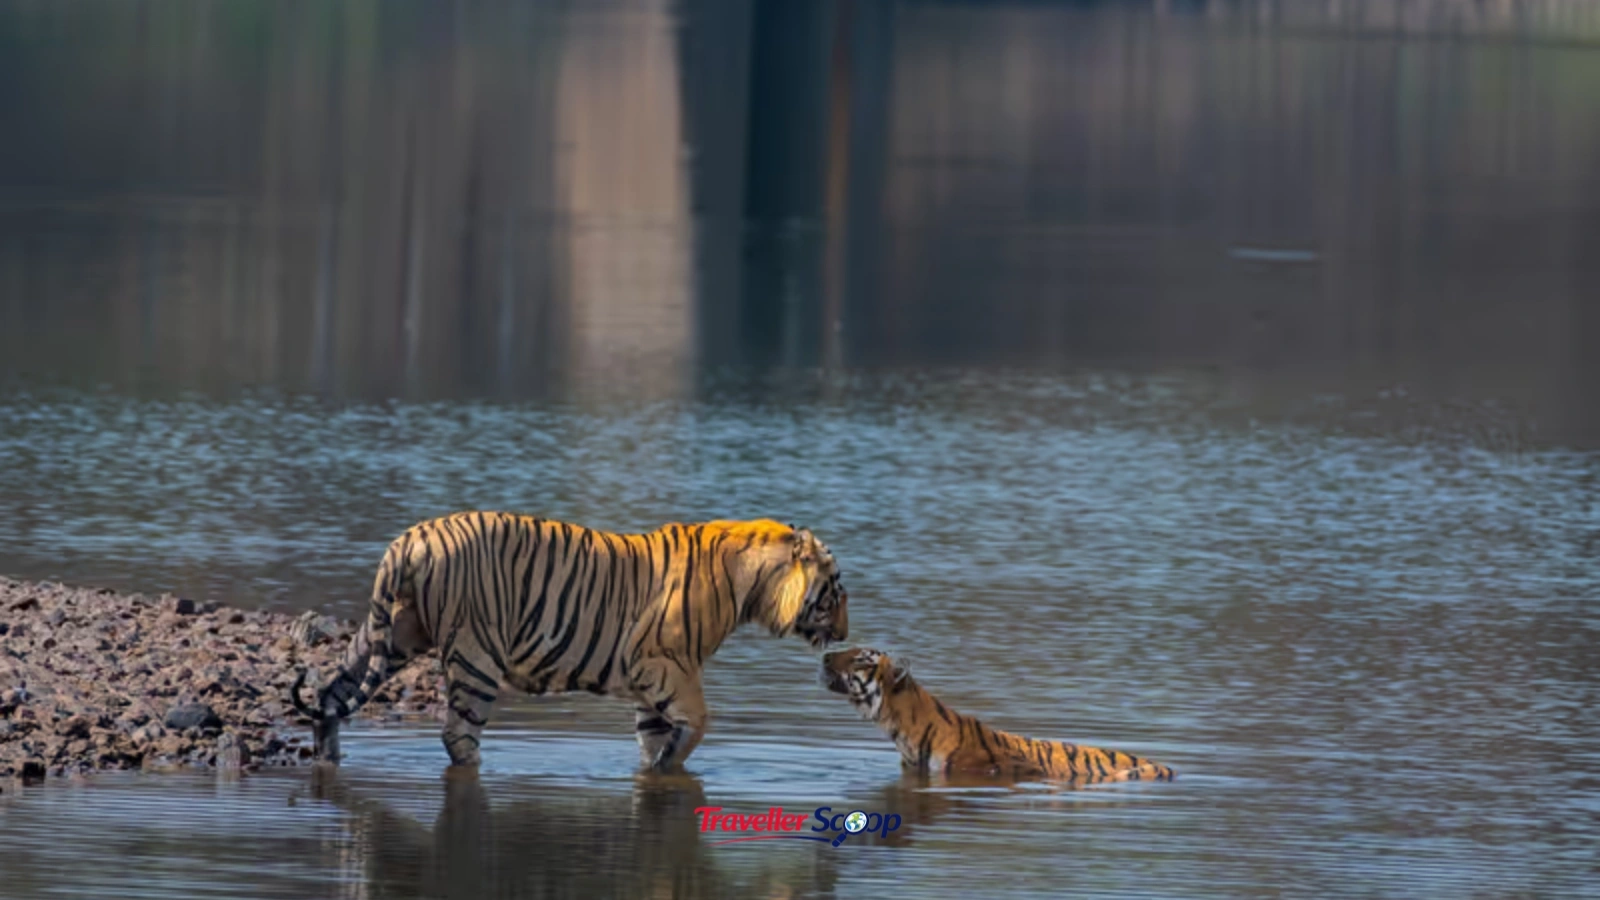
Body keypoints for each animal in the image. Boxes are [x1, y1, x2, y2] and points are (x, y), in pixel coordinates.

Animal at [290, 512, 850, 771]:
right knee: (457, 735)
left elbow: (655, 737)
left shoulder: (651, 684)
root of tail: (411, 538)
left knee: (331, 694)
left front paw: (658, 764)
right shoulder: (665, 664)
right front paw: (671, 765)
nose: (844, 633)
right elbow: (696, 724)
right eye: (835, 590)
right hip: (476, 655)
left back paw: (328, 757)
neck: (753, 588)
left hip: (390, 634)